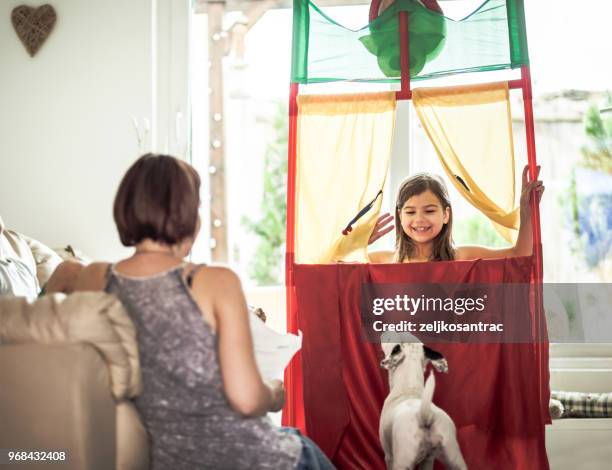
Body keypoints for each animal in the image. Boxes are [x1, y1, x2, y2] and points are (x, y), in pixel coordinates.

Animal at [378, 342, 468, 470]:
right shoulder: (427, 460)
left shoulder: (389, 457)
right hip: (454, 458)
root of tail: (425, 416)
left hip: (402, 461)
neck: (409, 388)